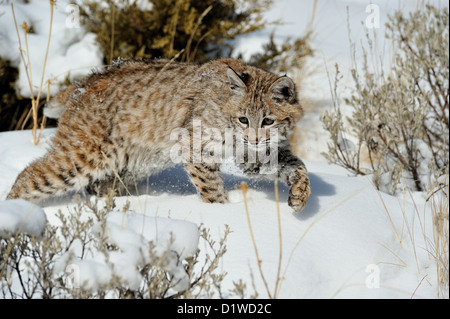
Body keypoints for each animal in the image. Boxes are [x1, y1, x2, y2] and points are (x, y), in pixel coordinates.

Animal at [7, 58, 312, 212]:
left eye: (268, 121)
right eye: (243, 119)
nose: (254, 139)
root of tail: (85, 81)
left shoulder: (255, 154)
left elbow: (298, 166)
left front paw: (300, 195)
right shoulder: (196, 147)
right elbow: (211, 187)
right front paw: (221, 214)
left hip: (130, 165)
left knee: (96, 187)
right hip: (84, 156)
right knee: (27, 176)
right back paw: (16, 220)